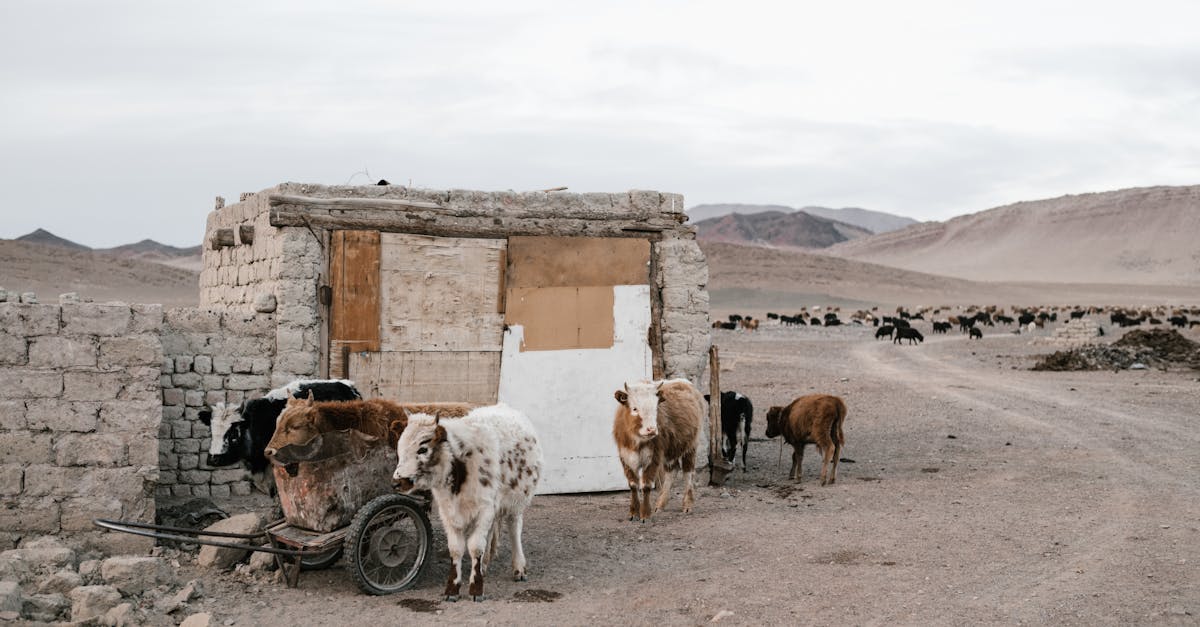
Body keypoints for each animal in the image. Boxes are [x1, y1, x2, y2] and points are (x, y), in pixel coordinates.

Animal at [393, 405, 544, 600]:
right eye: (400, 447)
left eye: (422, 449)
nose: (397, 482)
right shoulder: (448, 511)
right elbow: (456, 548)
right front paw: (452, 588)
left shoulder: (485, 509)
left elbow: (475, 547)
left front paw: (476, 587)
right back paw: (486, 564)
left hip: (516, 500)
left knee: (514, 528)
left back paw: (518, 567)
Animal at [614, 377, 705, 518]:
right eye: (635, 409)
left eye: (655, 409)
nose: (651, 429)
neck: (637, 441)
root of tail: (683, 381)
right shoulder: (626, 457)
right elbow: (633, 484)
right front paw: (633, 513)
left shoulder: (653, 456)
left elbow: (646, 485)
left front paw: (645, 514)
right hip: (671, 450)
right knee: (672, 470)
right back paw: (661, 504)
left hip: (691, 446)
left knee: (688, 472)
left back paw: (687, 505)